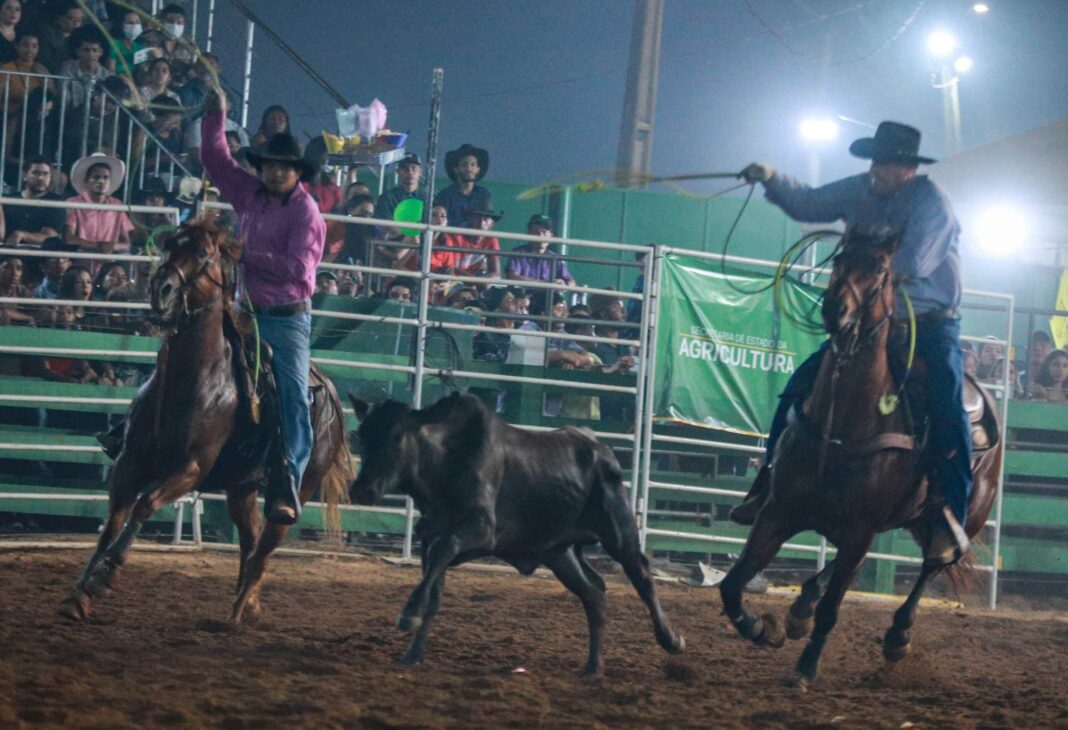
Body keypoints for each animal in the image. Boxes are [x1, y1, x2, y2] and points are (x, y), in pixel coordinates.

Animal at [57, 220, 350, 623]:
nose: (161, 289)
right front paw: (79, 593)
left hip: (298, 489)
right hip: (241, 487)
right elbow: (114, 519)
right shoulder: (130, 462)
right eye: (169, 244)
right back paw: (247, 601)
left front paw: (105, 576)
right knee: (250, 537)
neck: (197, 379)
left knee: (267, 543)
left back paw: (239, 610)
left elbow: (144, 505)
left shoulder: (190, 468)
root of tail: (331, 394)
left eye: (202, 253)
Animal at [717, 234, 999, 691]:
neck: (844, 424)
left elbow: (833, 609)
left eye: (882, 270)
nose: (836, 309)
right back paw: (800, 610)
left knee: (931, 565)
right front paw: (764, 629)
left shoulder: (859, 529)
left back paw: (898, 635)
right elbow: (732, 584)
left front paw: (805, 668)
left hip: (962, 519)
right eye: (839, 259)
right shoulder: (778, 513)